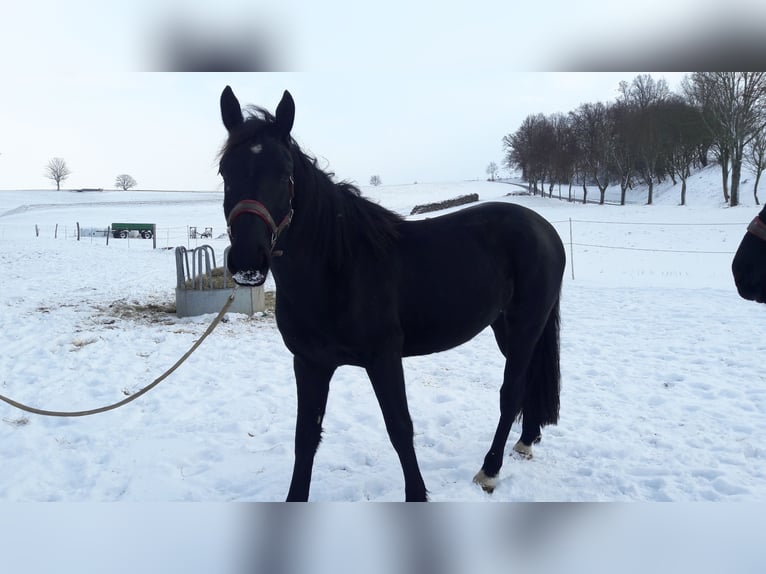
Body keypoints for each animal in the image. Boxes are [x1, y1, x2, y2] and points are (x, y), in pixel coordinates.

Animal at [219, 86, 566, 501]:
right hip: (505, 328)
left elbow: (400, 428)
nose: (247, 260)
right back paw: (525, 441)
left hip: (526, 325)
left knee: (511, 391)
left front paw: (417, 493)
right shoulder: (309, 362)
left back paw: (489, 471)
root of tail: (544, 229)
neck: (338, 269)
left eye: (284, 173)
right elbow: (305, 437)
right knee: (526, 384)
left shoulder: (383, 358)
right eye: (225, 171)